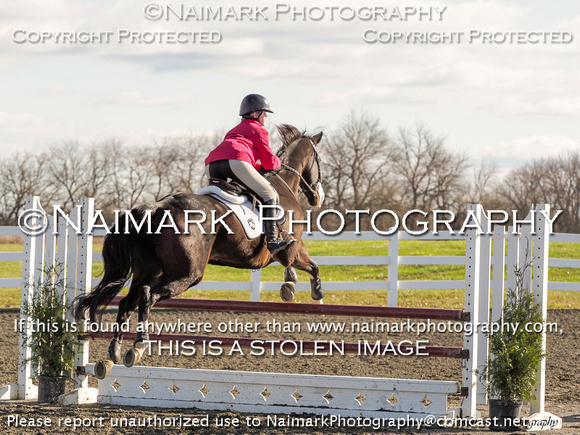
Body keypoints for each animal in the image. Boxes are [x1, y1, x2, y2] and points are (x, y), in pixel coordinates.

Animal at [74, 122, 324, 378]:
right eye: (318, 159)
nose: (318, 198)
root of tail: (155, 207)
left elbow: (300, 266)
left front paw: (293, 285)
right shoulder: (292, 248)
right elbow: (309, 265)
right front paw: (310, 291)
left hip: (147, 271)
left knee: (127, 303)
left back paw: (112, 354)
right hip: (188, 274)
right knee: (148, 295)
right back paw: (140, 344)